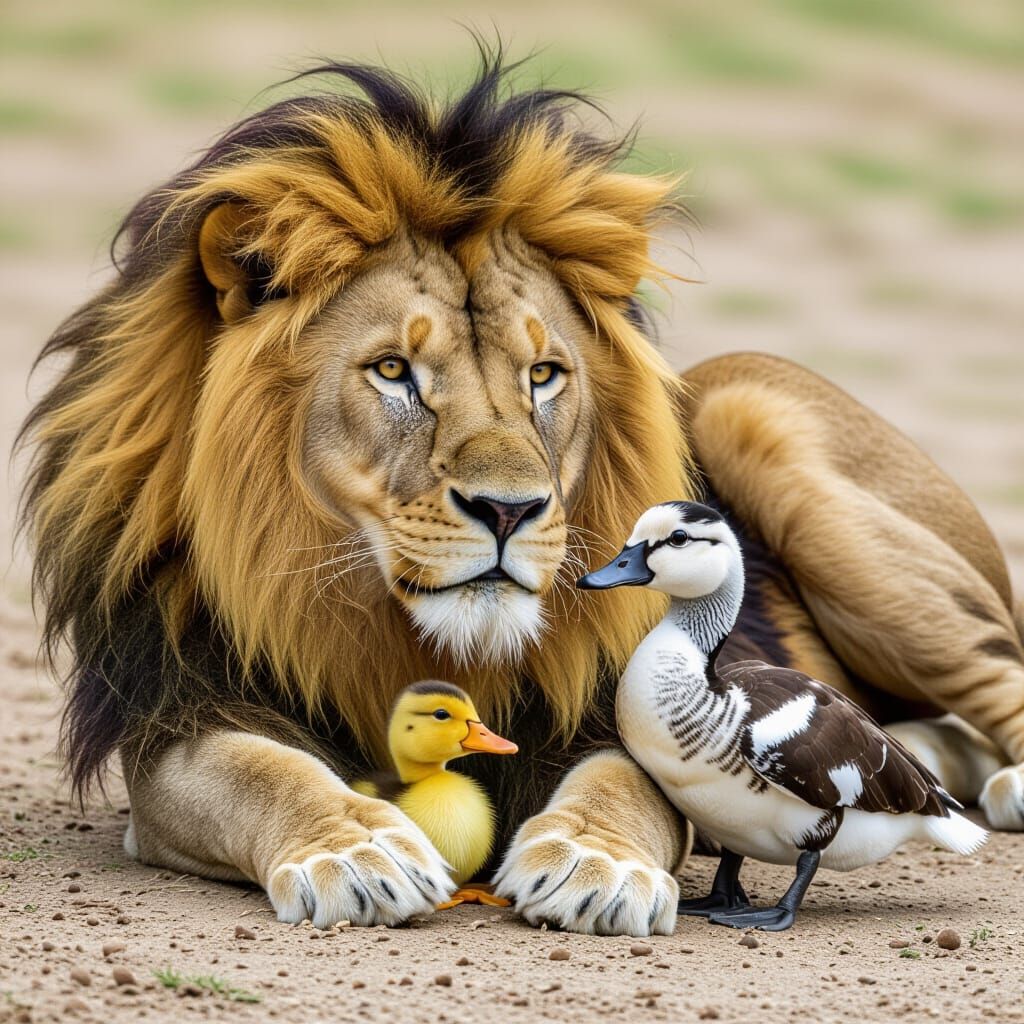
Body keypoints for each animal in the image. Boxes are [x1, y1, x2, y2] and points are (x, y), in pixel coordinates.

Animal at [19, 54, 1024, 936]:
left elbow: (621, 785)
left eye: (543, 375)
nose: (509, 512)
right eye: (394, 370)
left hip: (756, 413)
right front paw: (354, 849)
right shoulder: (177, 712)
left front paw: (595, 863)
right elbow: (260, 770)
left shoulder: (595, 713)